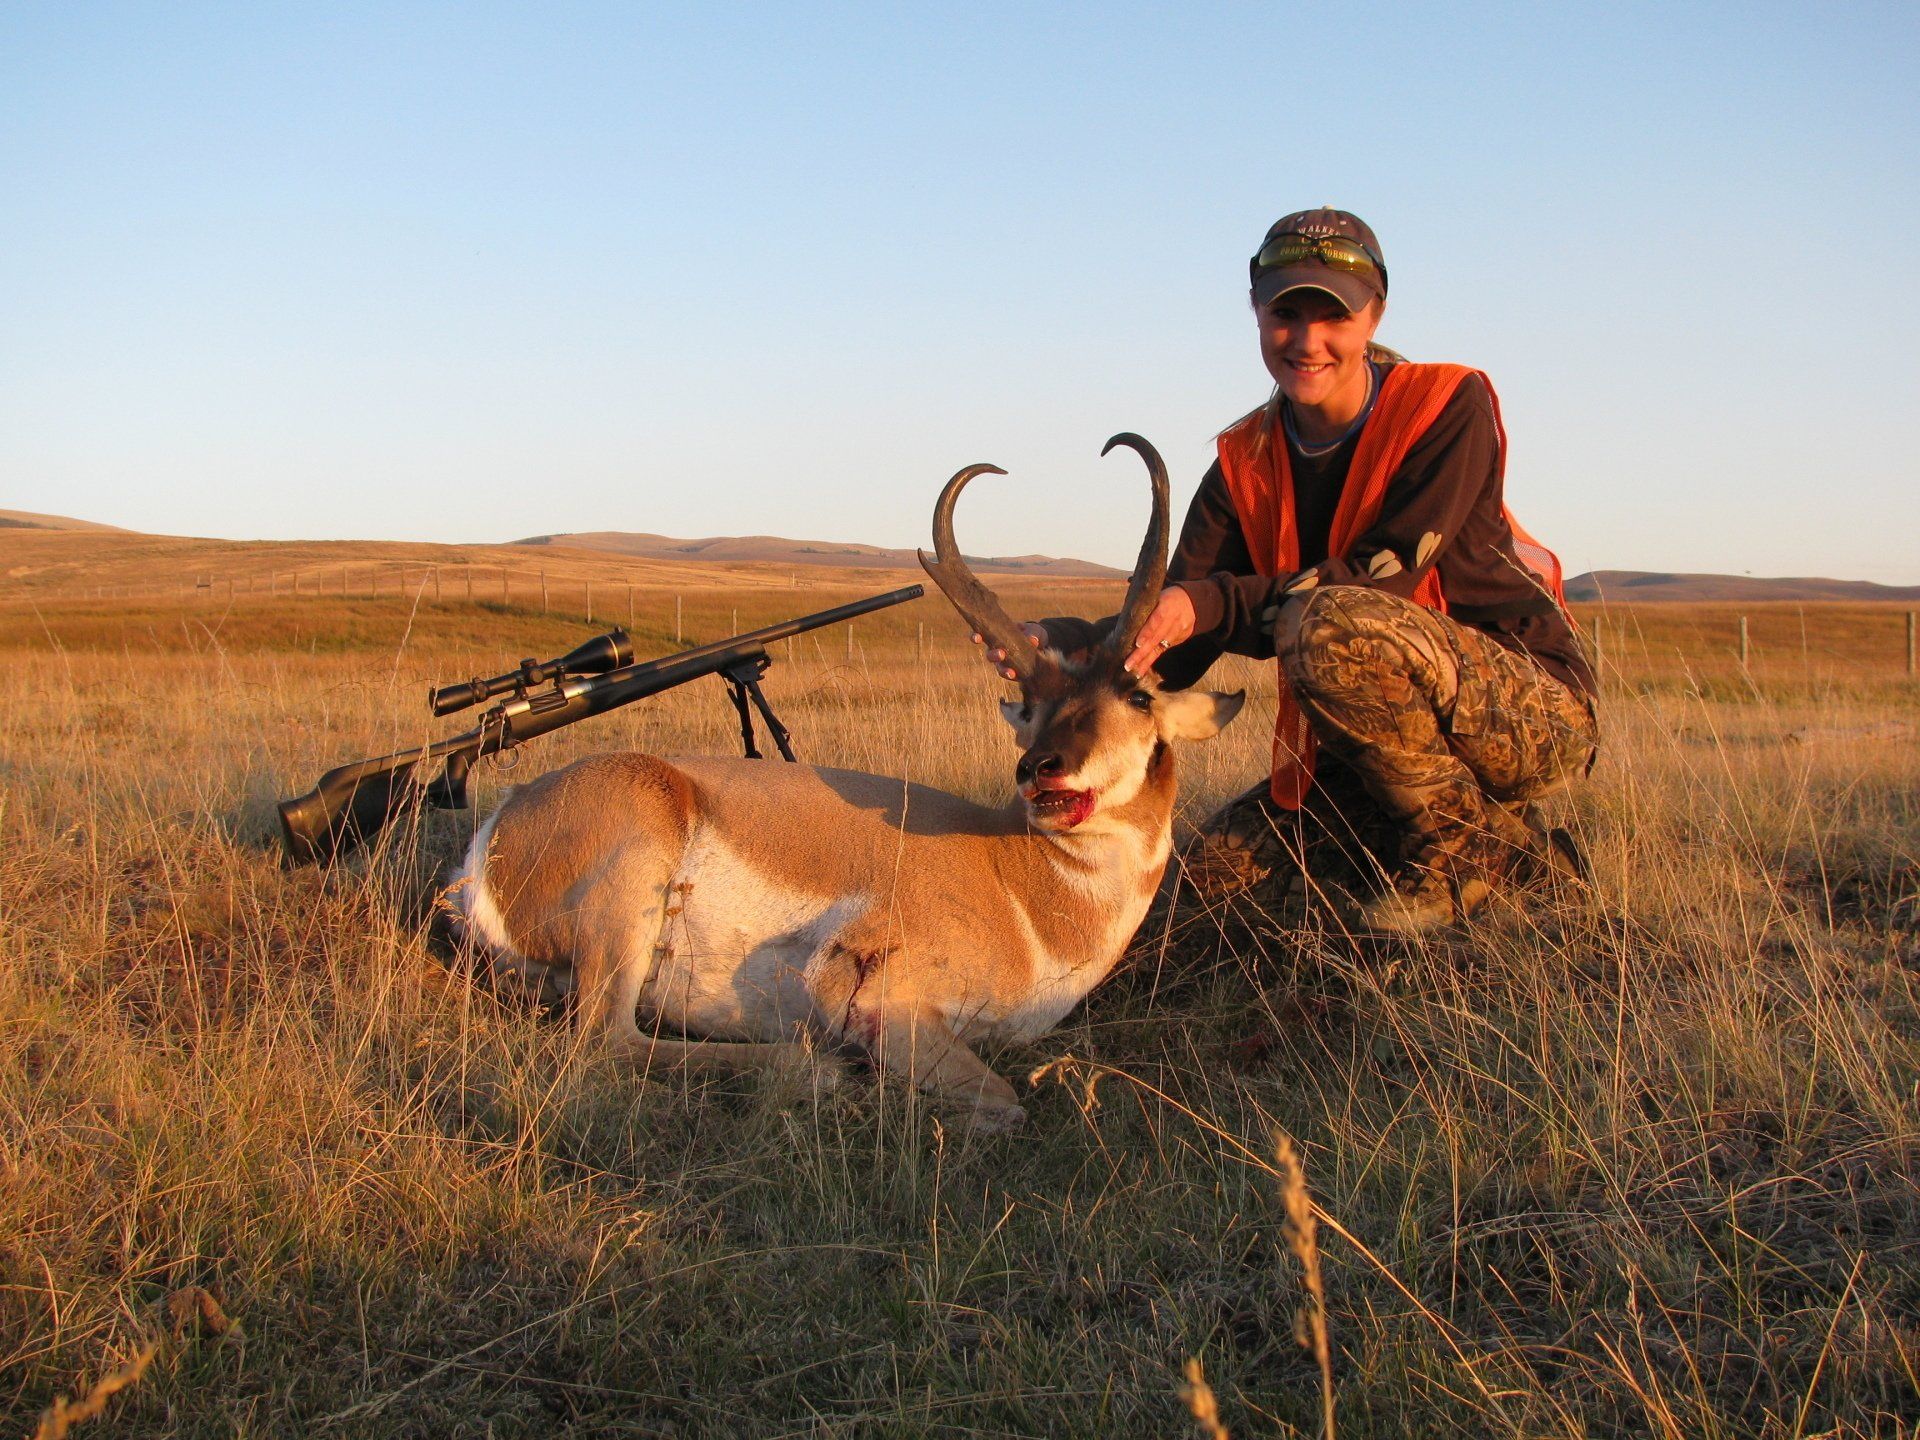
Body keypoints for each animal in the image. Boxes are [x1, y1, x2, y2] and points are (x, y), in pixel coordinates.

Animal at [449, 434, 1244, 1130]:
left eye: (1137, 695)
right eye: (1031, 703)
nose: (1039, 769)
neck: (1021, 880)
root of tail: (503, 818)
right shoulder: (870, 987)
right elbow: (1005, 1101)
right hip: (632, 885)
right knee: (604, 1040)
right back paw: (817, 1071)